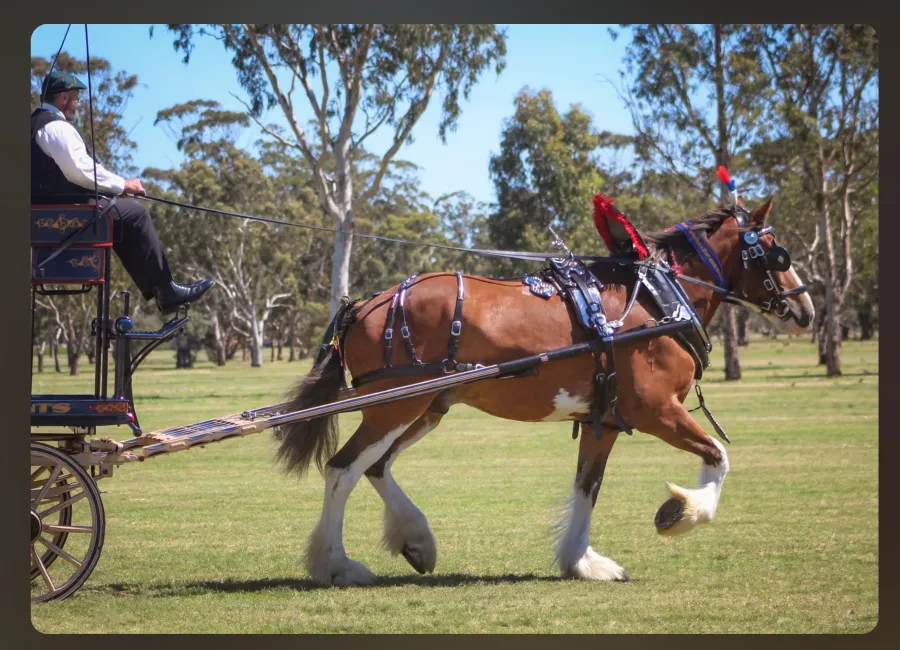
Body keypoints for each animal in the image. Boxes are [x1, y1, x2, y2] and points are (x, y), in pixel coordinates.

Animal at [275, 197, 815, 586]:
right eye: (776, 251)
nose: (806, 308)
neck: (658, 301)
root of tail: (364, 303)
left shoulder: (605, 422)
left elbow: (586, 488)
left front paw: (582, 562)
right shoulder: (656, 410)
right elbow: (718, 457)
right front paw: (679, 513)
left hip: (425, 407)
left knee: (376, 467)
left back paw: (416, 539)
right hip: (396, 404)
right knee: (342, 470)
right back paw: (337, 565)